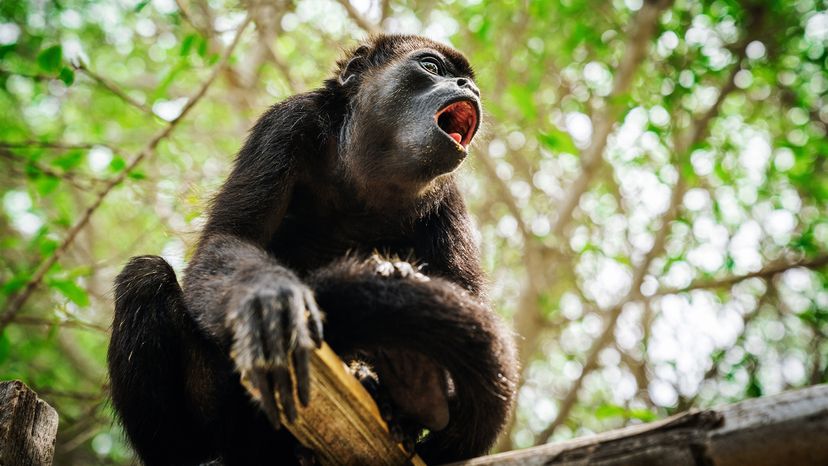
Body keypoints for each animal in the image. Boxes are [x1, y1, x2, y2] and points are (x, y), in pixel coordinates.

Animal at [108, 34, 518, 466]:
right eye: (433, 67)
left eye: (468, 81)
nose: (468, 88)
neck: (368, 177)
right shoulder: (287, 123)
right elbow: (227, 238)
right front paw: (265, 295)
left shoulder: (448, 199)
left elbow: (467, 297)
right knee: (145, 276)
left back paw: (407, 388)